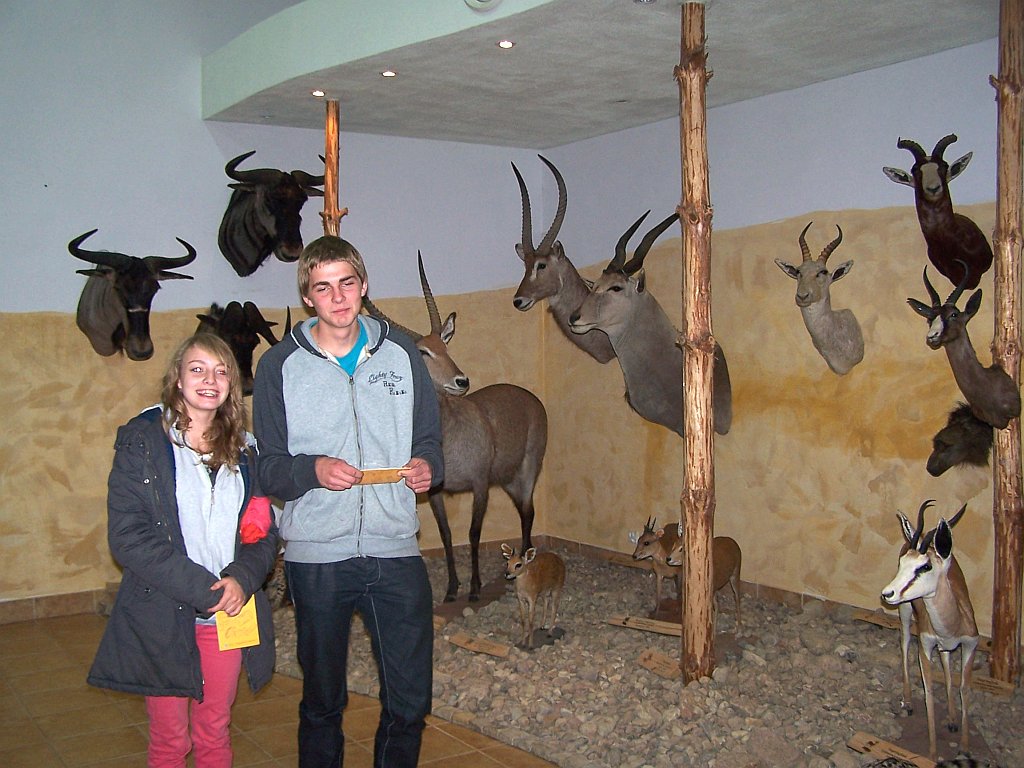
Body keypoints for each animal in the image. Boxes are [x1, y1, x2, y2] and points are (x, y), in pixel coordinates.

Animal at [364, 254, 548, 603]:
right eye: (423, 351)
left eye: (445, 346)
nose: (461, 381)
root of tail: (530, 397)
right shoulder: (436, 492)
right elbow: (447, 534)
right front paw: (451, 588)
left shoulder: (479, 485)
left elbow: (474, 533)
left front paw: (474, 588)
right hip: (507, 479)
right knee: (523, 510)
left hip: (529, 467)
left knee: (530, 510)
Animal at [882, 500, 976, 761]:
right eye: (902, 563)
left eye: (925, 566)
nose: (887, 593)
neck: (952, 623)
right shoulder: (925, 646)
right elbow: (929, 693)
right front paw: (933, 754)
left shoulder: (969, 645)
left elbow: (964, 688)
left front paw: (965, 746)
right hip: (904, 611)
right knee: (904, 643)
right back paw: (907, 702)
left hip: (942, 645)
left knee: (946, 662)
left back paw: (952, 719)